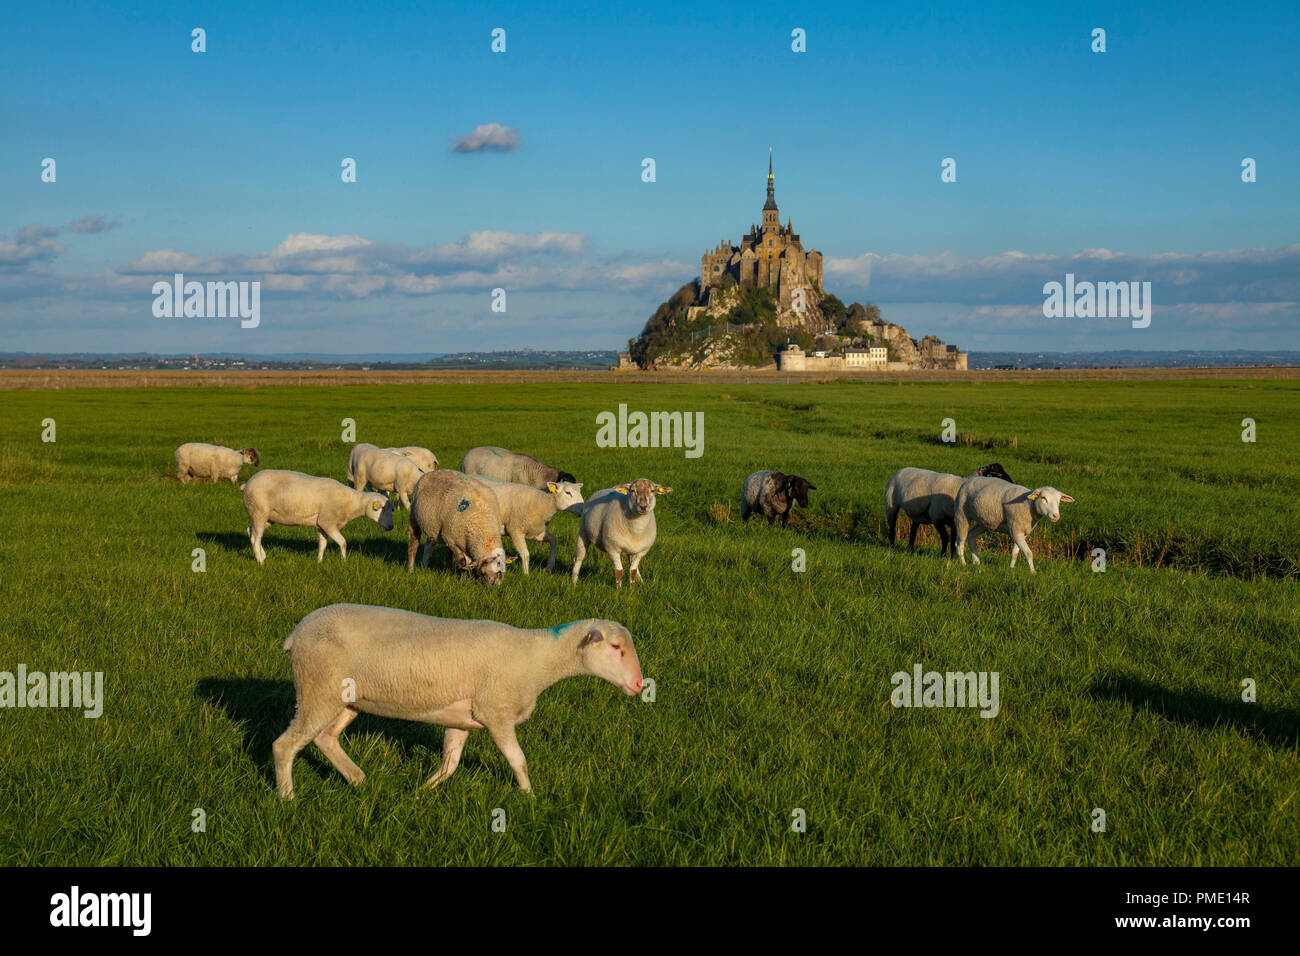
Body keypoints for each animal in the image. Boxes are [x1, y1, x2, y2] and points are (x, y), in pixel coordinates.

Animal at [240, 468, 390, 564]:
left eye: (392, 509)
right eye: (381, 508)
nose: (391, 526)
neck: (352, 502)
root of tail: (246, 484)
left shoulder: (321, 525)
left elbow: (322, 545)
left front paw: (319, 562)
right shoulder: (327, 522)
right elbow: (343, 542)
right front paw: (343, 562)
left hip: (268, 517)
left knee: (251, 531)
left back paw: (262, 555)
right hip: (259, 511)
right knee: (257, 537)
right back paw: (260, 561)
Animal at [274, 606, 644, 801]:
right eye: (615, 648)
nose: (640, 685)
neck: (537, 659)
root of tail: (297, 632)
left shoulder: (463, 718)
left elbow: (450, 763)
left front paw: (423, 792)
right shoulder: (496, 712)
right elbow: (519, 760)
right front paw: (529, 797)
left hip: (344, 699)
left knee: (325, 737)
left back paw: (357, 780)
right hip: (316, 688)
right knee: (284, 745)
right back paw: (287, 798)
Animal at [883, 463, 1013, 554]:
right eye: (998, 474)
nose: (1013, 484)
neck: (959, 486)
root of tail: (901, 470)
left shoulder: (955, 521)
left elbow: (954, 540)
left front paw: (953, 556)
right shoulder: (937, 518)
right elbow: (946, 538)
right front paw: (943, 555)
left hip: (916, 514)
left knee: (913, 531)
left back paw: (910, 549)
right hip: (891, 504)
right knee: (892, 527)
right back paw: (892, 546)